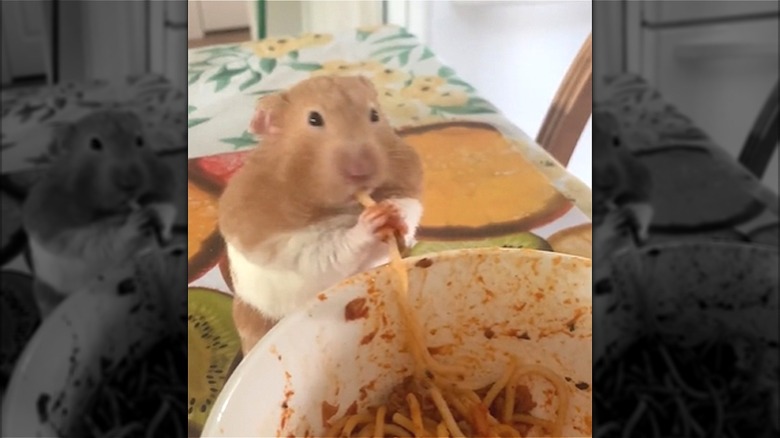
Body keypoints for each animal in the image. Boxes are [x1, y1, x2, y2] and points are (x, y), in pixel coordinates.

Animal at [21, 108, 177, 316]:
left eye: (139, 140)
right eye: (94, 144)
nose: (131, 184)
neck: (116, 211)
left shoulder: (165, 190)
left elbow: (166, 209)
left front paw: (156, 219)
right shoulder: (58, 226)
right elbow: (99, 240)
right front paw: (136, 222)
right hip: (47, 292)